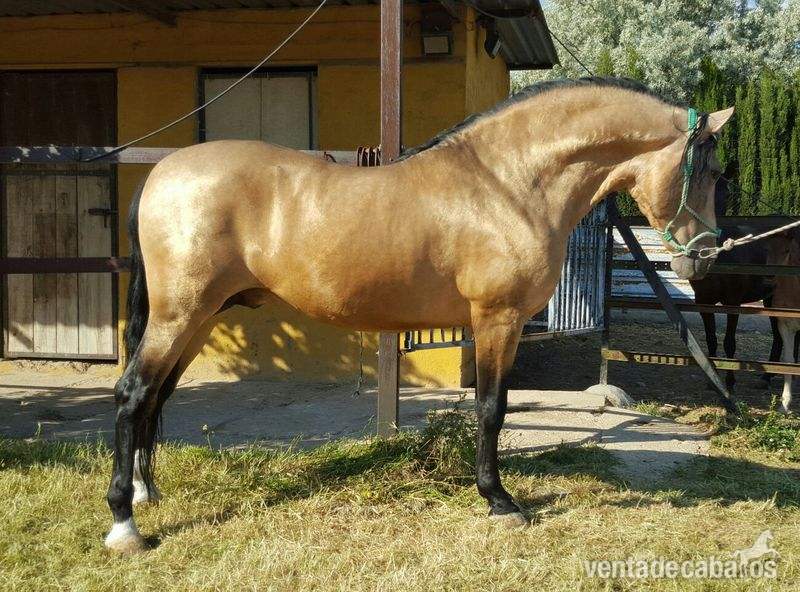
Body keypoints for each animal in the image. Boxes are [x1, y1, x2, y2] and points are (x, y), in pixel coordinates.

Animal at [104, 77, 733, 554]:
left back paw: (145, 493)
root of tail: (162, 174)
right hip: (179, 315)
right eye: (707, 173)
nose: (704, 258)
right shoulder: (497, 320)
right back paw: (124, 523)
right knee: (133, 393)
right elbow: (491, 409)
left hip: (198, 317)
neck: (508, 184)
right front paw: (499, 500)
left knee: (157, 395)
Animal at [689, 178, 782, 392]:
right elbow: (711, 340)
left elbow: (729, 342)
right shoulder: (703, 303)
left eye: (726, 195)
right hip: (772, 299)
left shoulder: (733, 303)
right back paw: (768, 377)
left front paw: (730, 383)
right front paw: (713, 381)